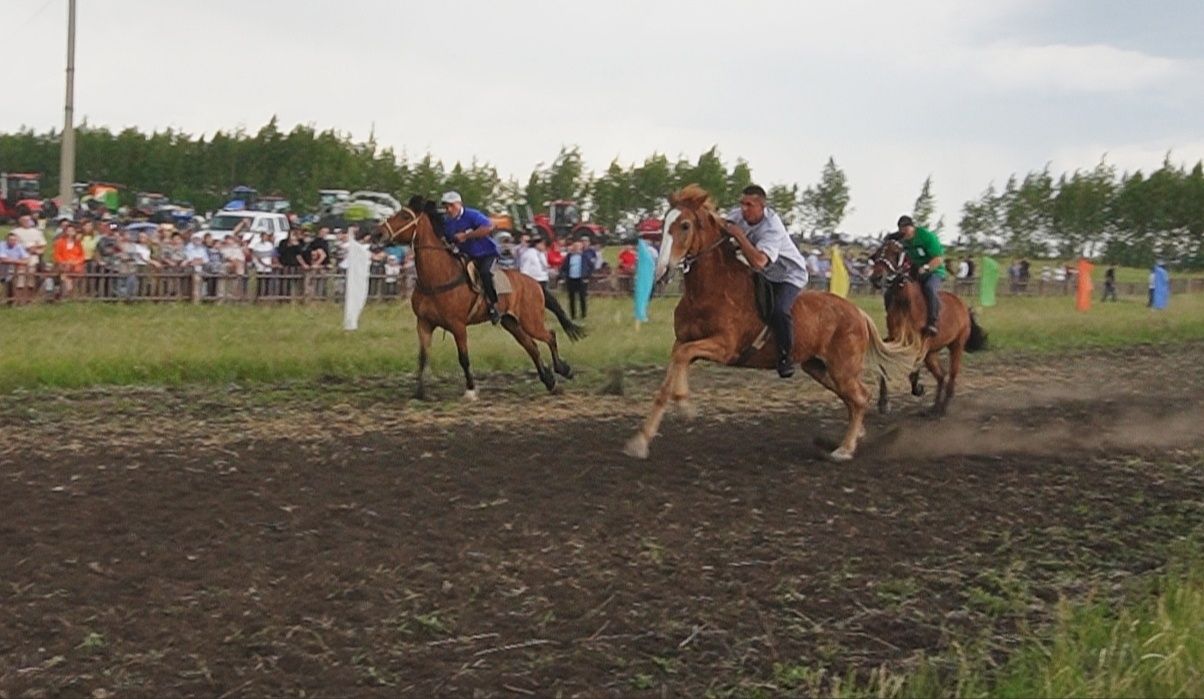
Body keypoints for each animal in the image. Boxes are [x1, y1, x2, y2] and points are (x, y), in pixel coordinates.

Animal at [375, 198, 582, 401]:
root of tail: (535, 283)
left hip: (531, 321)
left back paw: (563, 369)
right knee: (532, 346)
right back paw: (550, 381)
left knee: (550, 336)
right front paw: (419, 392)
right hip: (511, 323)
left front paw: (471, 390)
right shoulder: (424, 324)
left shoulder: (458, 326)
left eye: (404, 216)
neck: (437, 277)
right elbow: (423, 357)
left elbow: (464, 358)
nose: (378, 233)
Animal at [621, 185, 919, 459]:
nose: (661, 271)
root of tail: (859, 313)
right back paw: (855, 437)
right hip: (818, 367)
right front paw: (641, 441)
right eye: (663, 224)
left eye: (684, 225)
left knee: (858, 397)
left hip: (842, 367)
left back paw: (844, 449)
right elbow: (669, 378)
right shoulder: (682, 340)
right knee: (857, 398)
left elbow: (683, 358)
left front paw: (684, 405)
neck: (711, 290)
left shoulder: (724, 346)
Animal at [871, 238, 992, 413]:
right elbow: (886, 365)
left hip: (956, 345)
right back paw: (934, 407)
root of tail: (962, 306)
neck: (905, 302)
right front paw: (883, 403)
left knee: (952, 375)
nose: (876, 278)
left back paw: (942, 408)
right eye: (877, 253)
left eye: (895, 253)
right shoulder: (895, 340)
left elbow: (913, 369)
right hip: (932, 354)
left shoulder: (920, 344)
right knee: (941, 375)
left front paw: (917, 387)